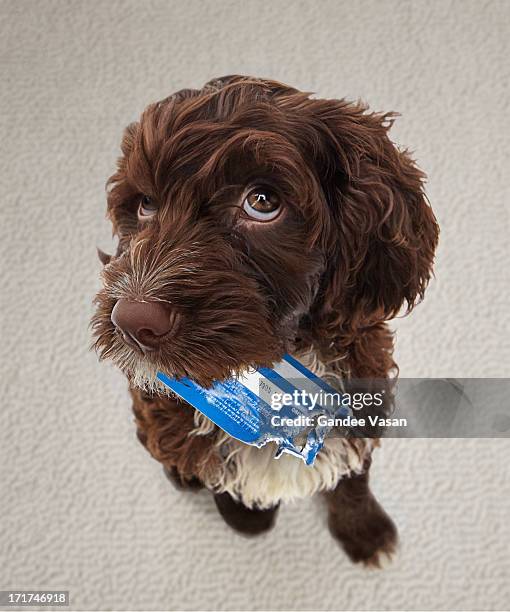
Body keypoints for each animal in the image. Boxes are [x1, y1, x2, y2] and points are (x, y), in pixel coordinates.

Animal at [91, 75, 438, 564]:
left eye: (262, 202)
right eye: (145, 205)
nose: (131, 321)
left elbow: (354, 475)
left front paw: (365, 530)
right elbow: (226, 483)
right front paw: (249, 520)